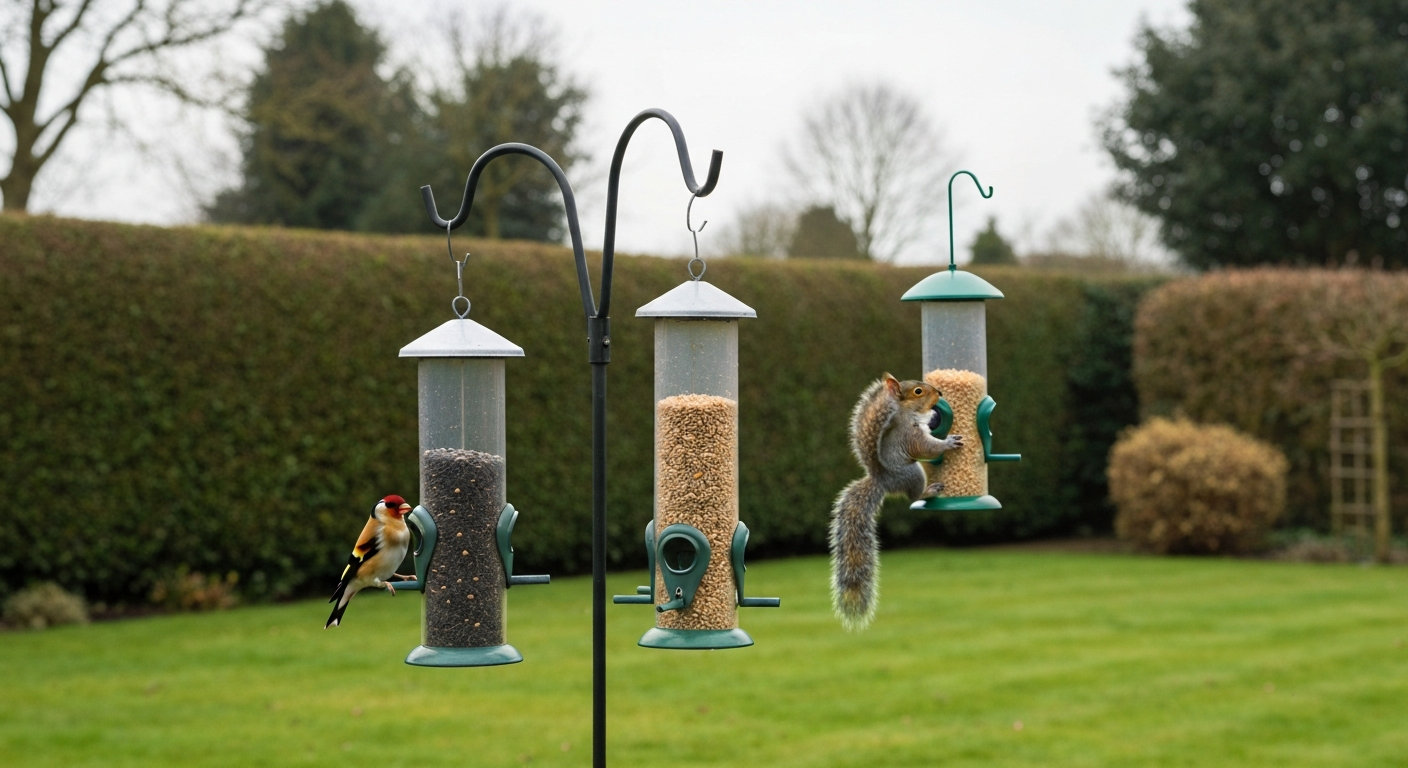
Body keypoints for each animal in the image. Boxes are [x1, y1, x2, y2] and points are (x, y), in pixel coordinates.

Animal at [829, 373, 964, 630]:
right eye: (918, 391)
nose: (940, 393)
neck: (908, 413)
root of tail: (883, 481)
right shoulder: (910, 436)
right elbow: (926, 448)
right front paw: (948, 443)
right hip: (913, 473)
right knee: (914, 496)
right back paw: (929, 491)